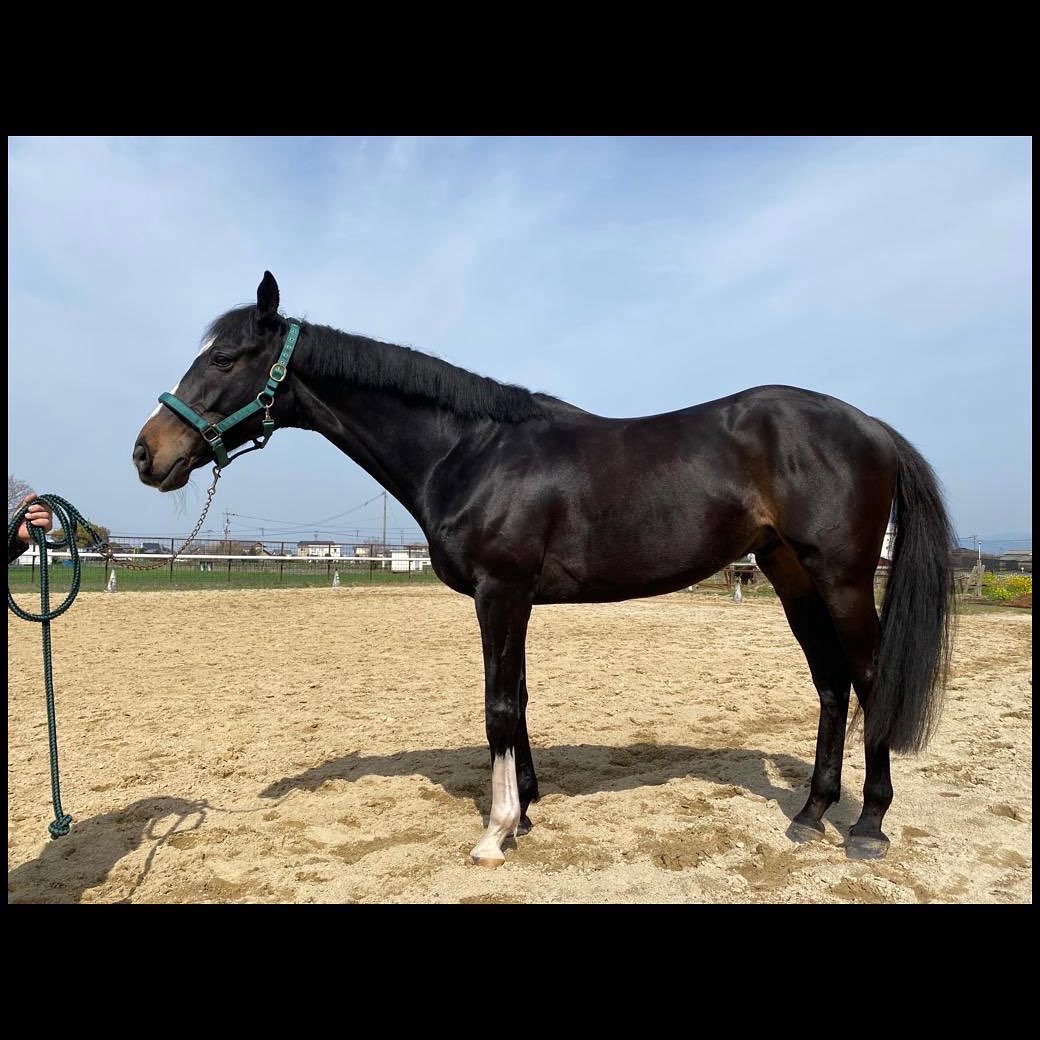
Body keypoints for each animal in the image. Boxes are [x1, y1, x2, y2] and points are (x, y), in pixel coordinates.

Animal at [133, 271, 956, 866]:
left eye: (226, 359)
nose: (148, 453)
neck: (469, 451)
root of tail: (871, 427)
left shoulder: (500, 594)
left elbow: (498, 704)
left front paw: (496, 831)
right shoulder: (515, 598)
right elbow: (520, 700)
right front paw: (526, 809)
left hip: (841, 577)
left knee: (870, 679)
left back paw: (868, 827)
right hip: (791, 576)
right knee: (830, 683)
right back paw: (810, 814)